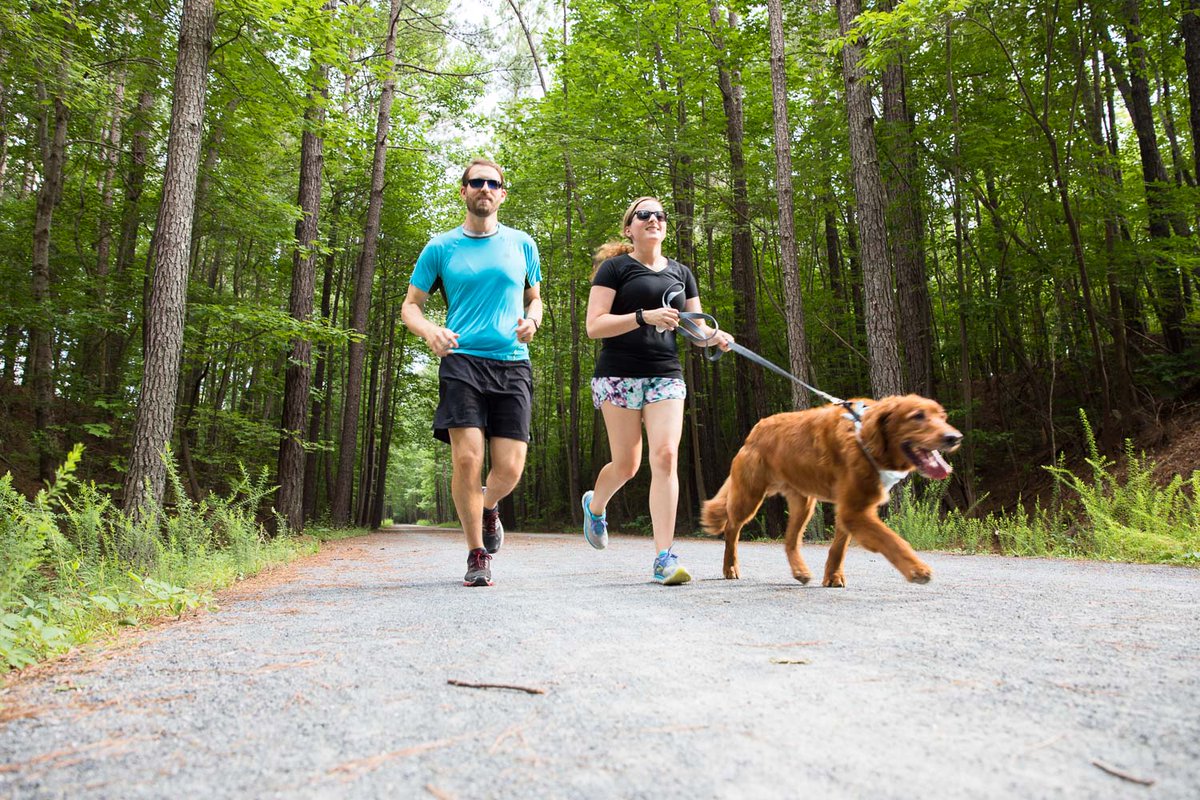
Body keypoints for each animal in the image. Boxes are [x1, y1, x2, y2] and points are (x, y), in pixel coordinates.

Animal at [700, 395, 960, 587]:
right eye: (917, 416)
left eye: (942, 416)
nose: (954, 437)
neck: (864, 437)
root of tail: (754, 431)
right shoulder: (854, 510)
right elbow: (893, 540)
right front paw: (917, 569)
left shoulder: (850, 507)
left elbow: (839, 547)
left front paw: (833, 577)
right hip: (749, 495)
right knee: (731, 528)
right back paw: (730, 567)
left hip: (803, 502)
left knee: (790, 540)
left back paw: (800, 571)